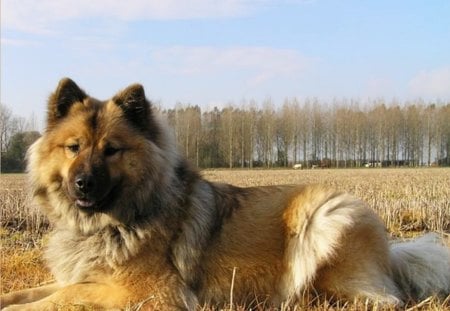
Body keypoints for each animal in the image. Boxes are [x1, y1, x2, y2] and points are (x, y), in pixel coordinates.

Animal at [1, 78, 448, 310]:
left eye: (112, 150)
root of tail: (391, 252)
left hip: (325, 215)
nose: (83, 183)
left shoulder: (144, 293)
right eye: (73, 147)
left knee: (379, 300)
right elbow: (34, 291)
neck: (112, 222)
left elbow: (61, 298)